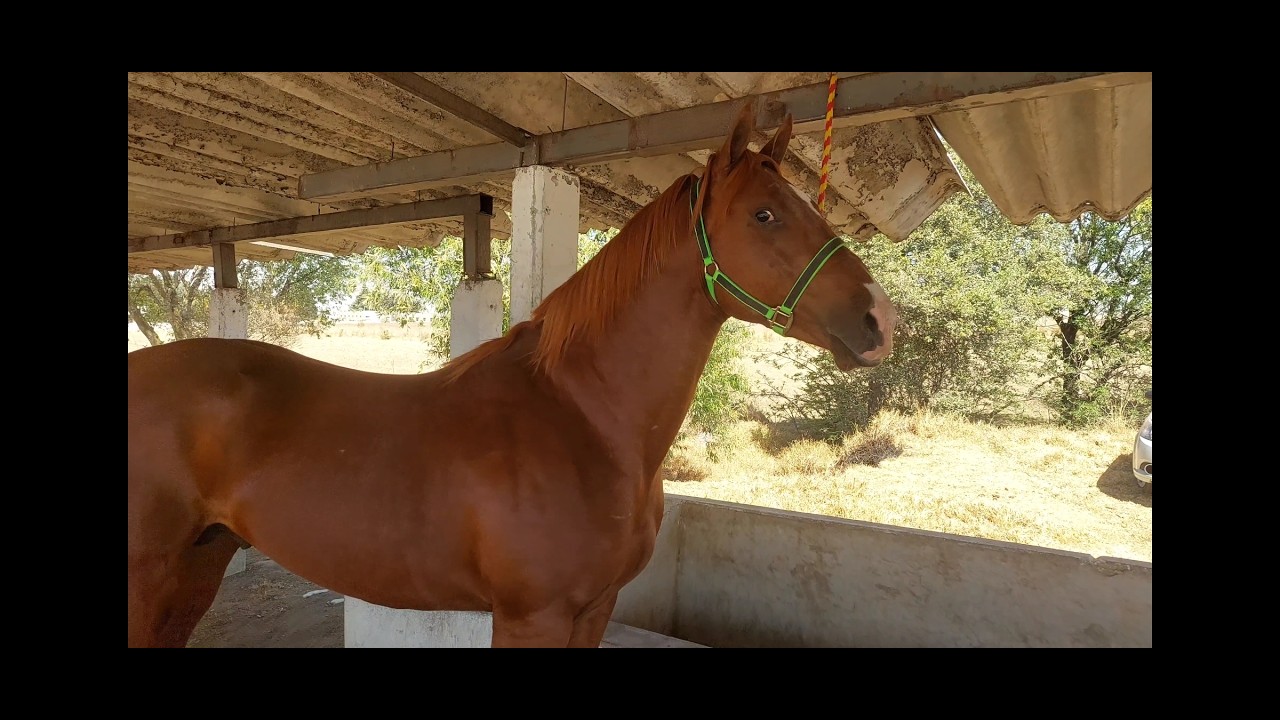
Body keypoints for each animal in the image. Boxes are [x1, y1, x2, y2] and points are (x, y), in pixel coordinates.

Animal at [127, 101, 898, 648]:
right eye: (765, 215)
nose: (881, 319)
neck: (583, 418)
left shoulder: (593, 609)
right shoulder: (534, 615)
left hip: (197, 566)